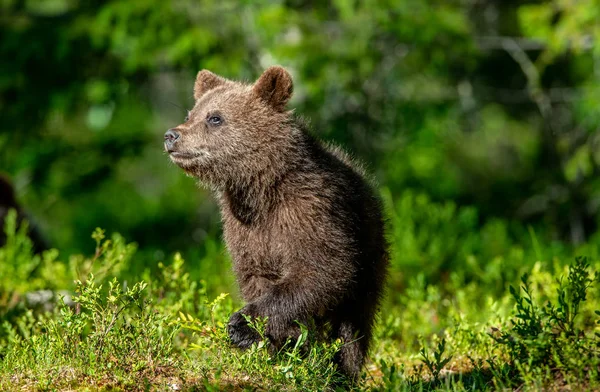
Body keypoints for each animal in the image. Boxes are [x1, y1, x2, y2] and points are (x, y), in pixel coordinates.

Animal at [164, 65, 390, 380]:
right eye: (190, 113)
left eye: (215, 117)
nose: (171, 135)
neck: (261, 188)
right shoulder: (244, 229)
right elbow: (256, 274)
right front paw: (272, 342)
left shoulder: (310, 211)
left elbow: (322, 270)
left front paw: (244, 325)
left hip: (370, 256)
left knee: (352, 325)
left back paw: (341, 369)